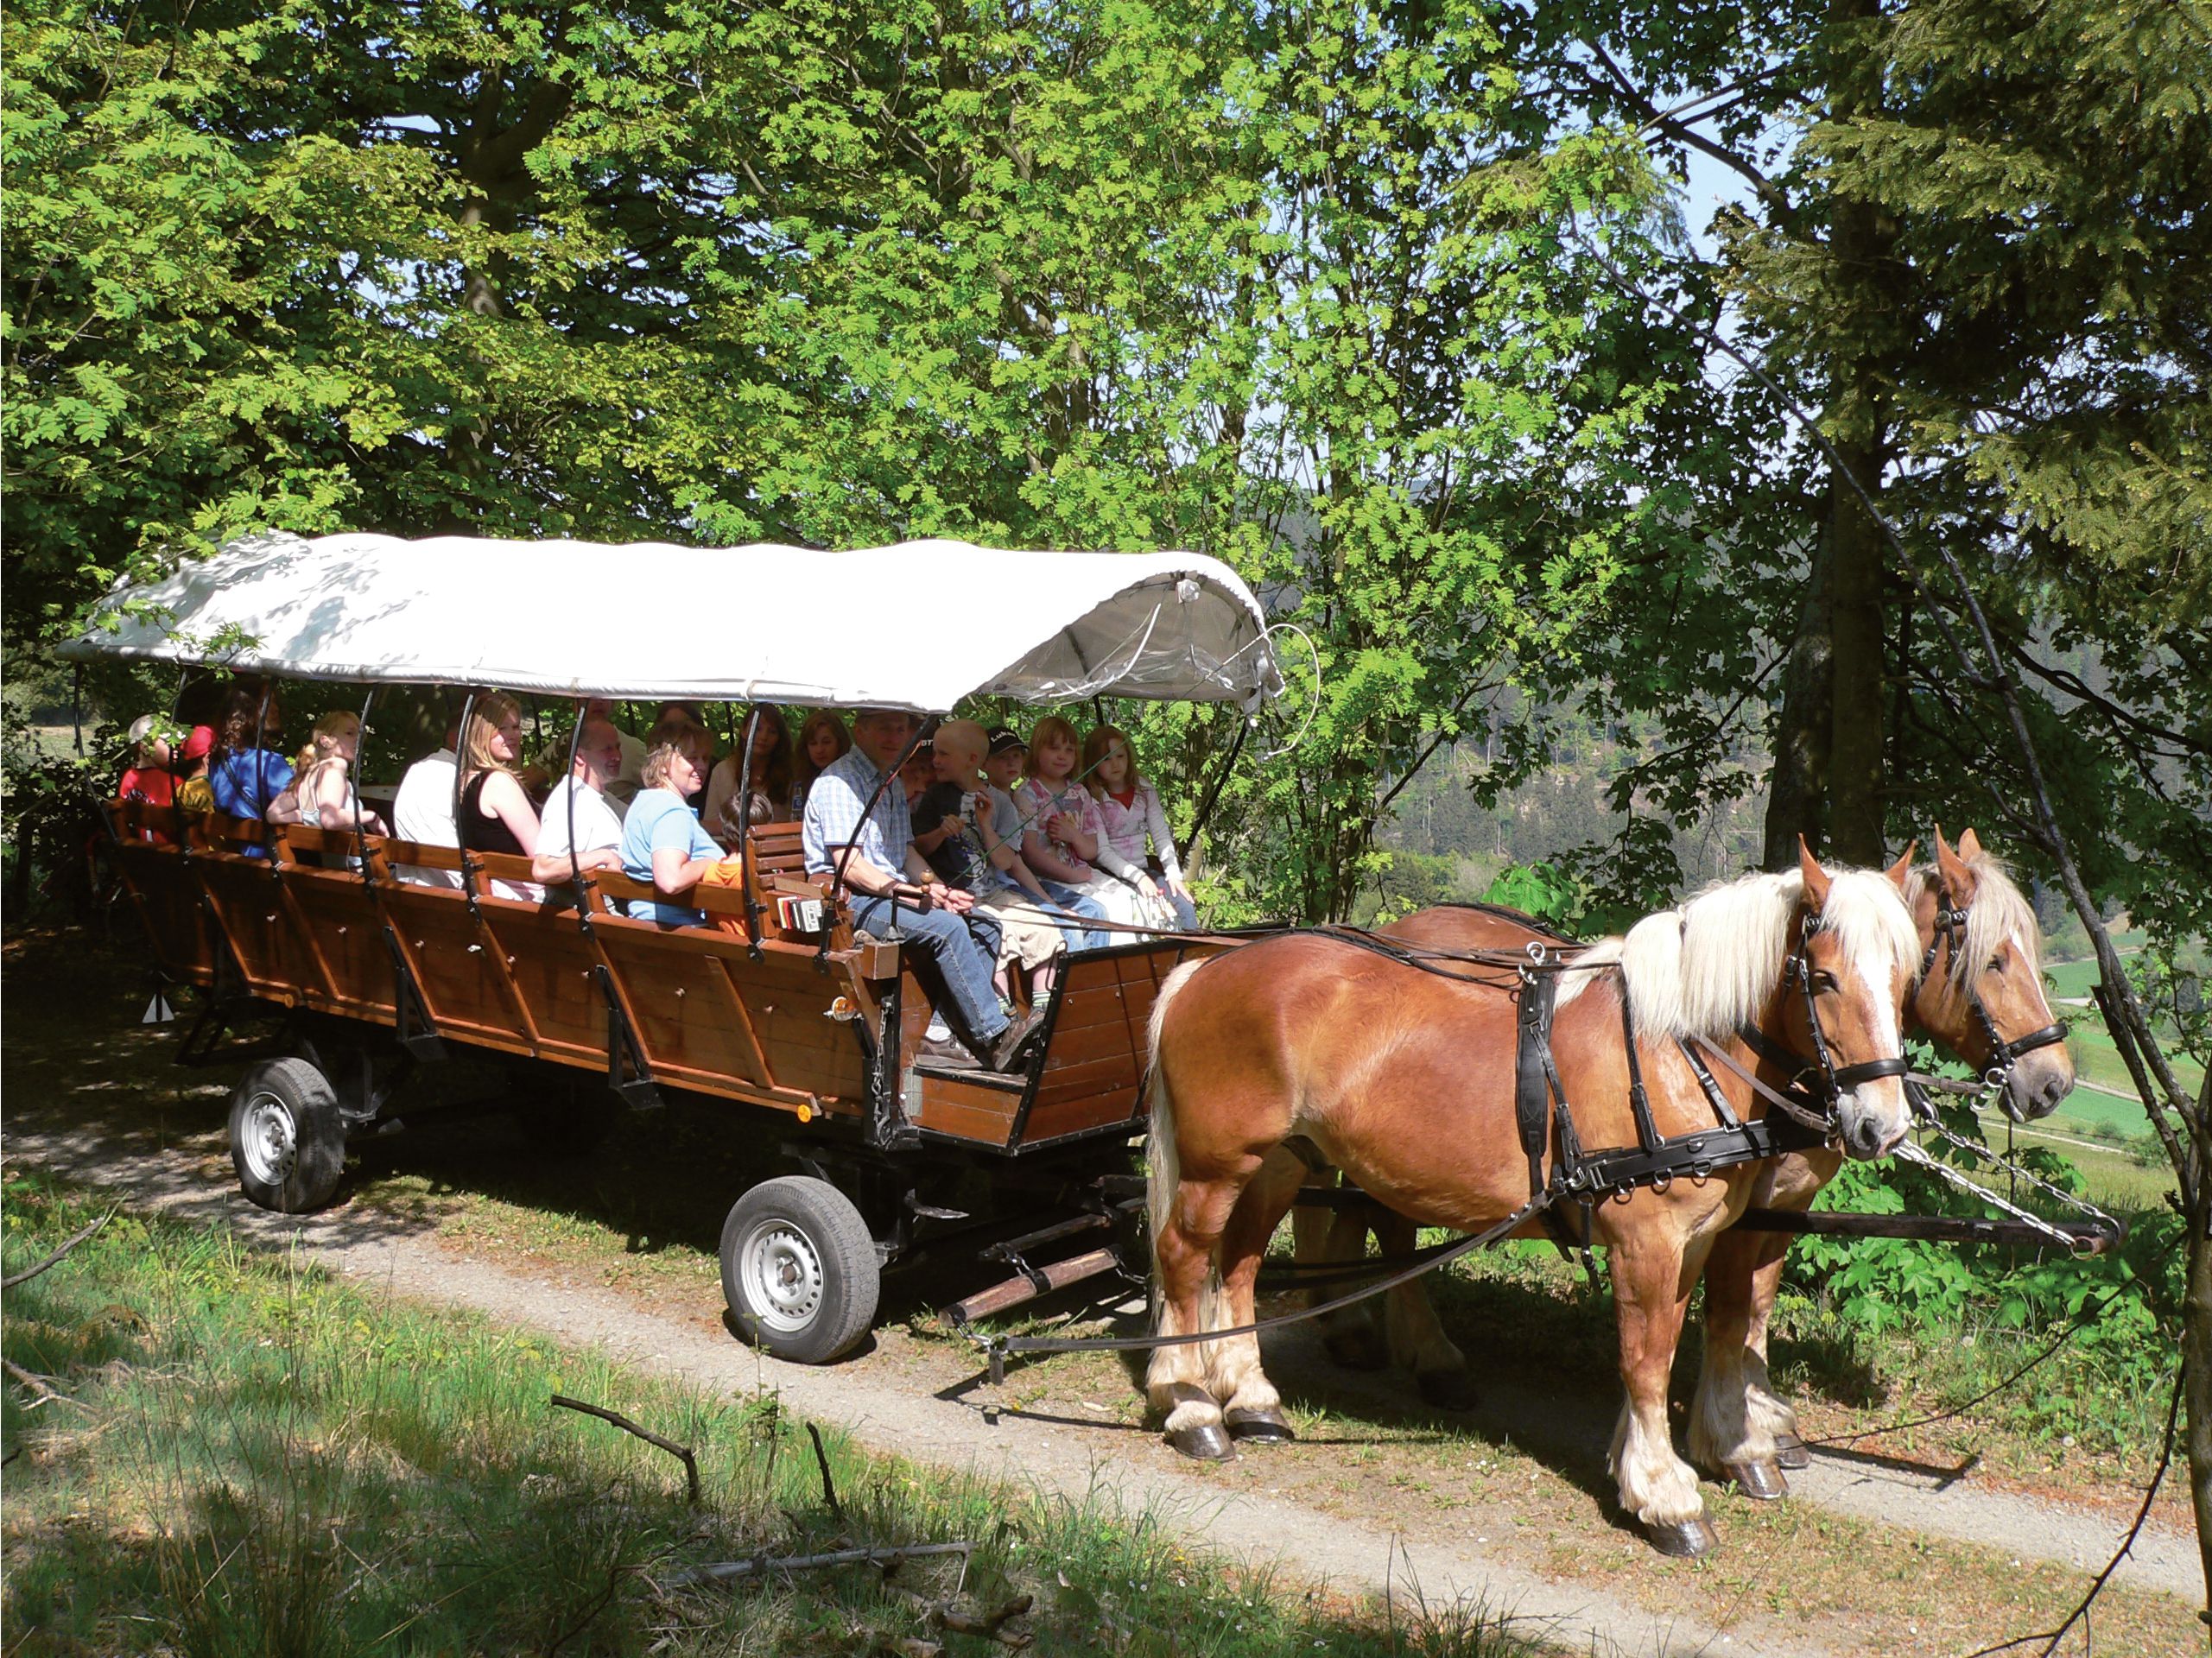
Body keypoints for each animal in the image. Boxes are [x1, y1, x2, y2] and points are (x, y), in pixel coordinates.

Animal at [1141, 844, 1919, 1556]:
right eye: (1823, 978)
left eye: (1905, 980)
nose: (1881, 1125)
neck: (1672, 1049)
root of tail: (1206, 967)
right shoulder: (1648, 1242)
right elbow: (1646, 1360)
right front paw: (1665, 1497)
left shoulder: (1696, 1239)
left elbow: (1688, 1340)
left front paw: (1650, 1463)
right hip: (1217, 1164)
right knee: (1183, 1256)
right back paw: (1190, 1408)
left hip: (1279, 1160)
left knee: (1239, 1263)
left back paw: (1252, 1399)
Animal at [1309, 826, 2088, 1503]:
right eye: (1995, 961)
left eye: (1900, 983)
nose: (2052, 1082)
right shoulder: (1732, 1214)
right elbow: (1726, 1313)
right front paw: (1731, 1441)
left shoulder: (1775, 1206)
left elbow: (1751, 1308)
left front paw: (1753, 1424)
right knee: (1383, 1221)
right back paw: (1418, 1353)